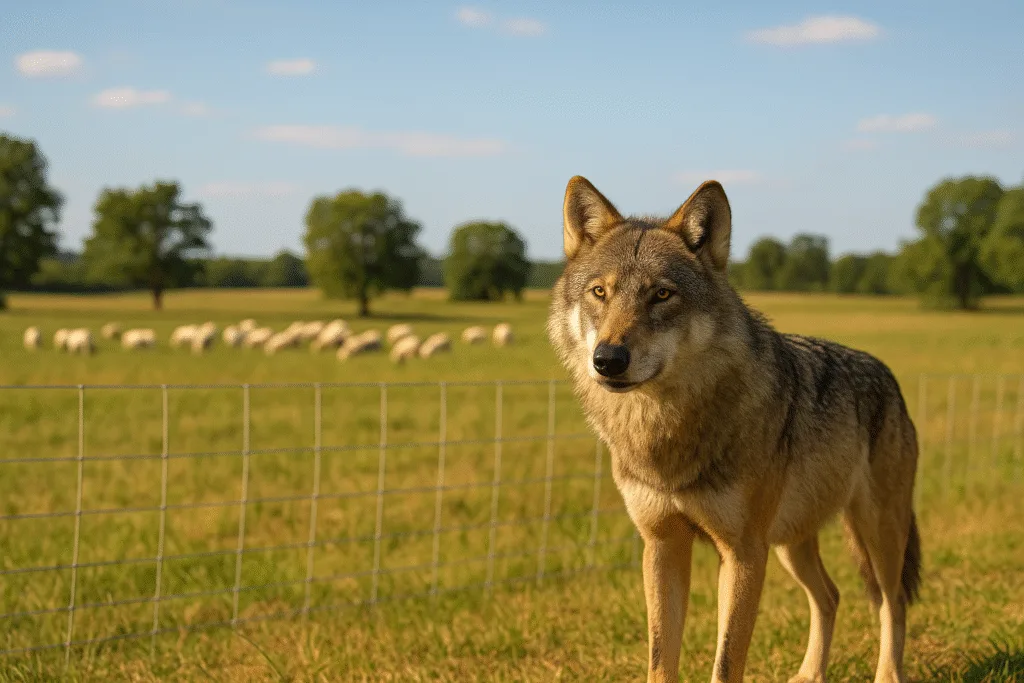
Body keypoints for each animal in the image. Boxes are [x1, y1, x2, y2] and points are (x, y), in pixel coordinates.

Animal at [547, 176, 921, 683]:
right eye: (600, 292)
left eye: (661, 295)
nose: (608, 359)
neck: (665, 429)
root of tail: (888, 375)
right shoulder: (662, 545)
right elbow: (660, 659)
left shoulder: (742, 554)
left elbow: (726, 662)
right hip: (790, 544)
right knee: (830, 595)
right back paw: (809, 674)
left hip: (874, 534)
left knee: (891, 603)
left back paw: (886, 674)